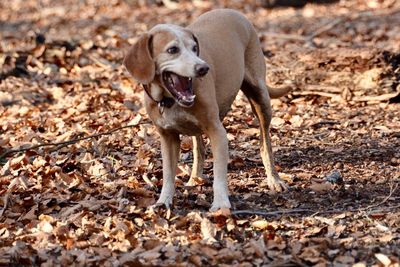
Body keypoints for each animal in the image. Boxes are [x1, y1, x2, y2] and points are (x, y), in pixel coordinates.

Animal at [124, 9, 290, 213]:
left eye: (195, 48)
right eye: (173, 50)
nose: (203, 68)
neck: (170, 100)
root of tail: (234, 12)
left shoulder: (217, 132)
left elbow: (219, 173)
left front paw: (220, 204)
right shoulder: (168, 138)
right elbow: (168, 174)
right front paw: (164, 201)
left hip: (261, 97)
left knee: (265, 142)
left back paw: (274, 179)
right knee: (199, 146)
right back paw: (195, 177)